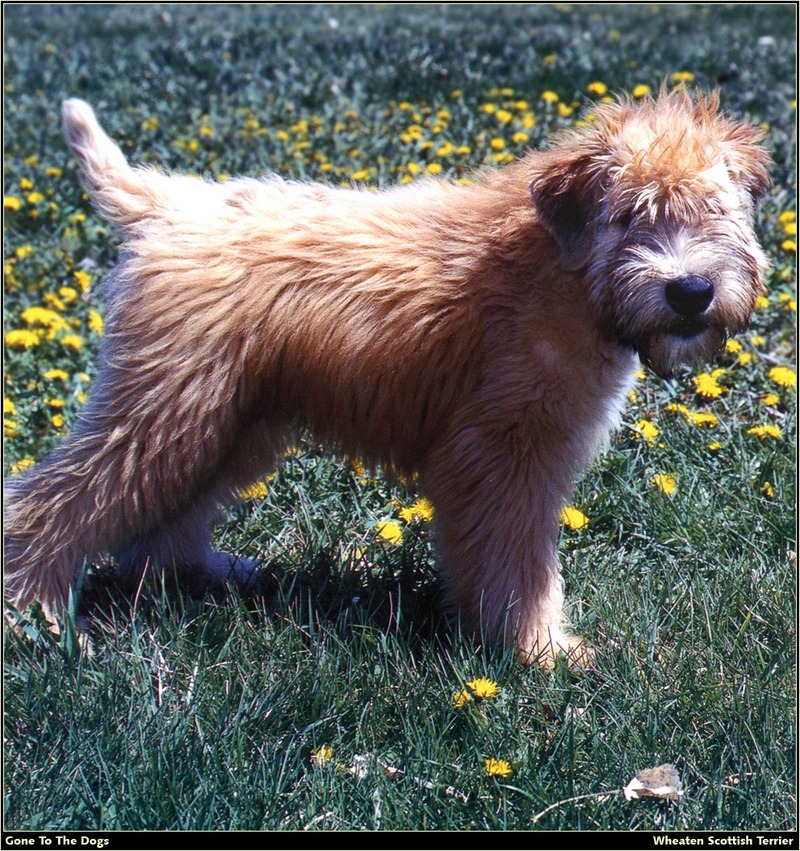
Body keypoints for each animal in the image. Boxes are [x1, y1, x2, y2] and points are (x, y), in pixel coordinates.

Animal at [4, 91, 768, 664]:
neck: (562, 269)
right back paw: (33, 614)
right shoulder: (504, 452)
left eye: (713, 209)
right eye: (631, 215)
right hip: (165, 408)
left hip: (227, 416)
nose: (691, 291)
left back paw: (203, 572)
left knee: (163, 516)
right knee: (52, 501)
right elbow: (518, 563)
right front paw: (540, 651)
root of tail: (165, 206)